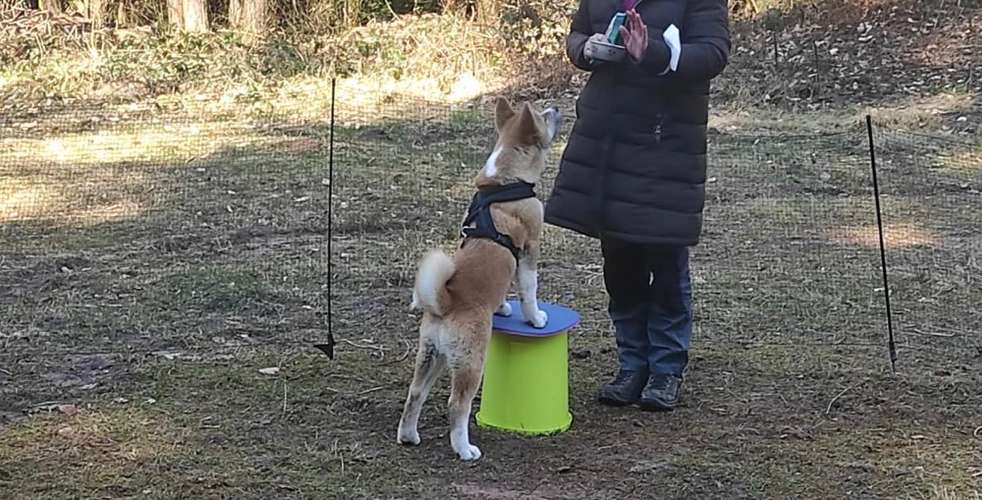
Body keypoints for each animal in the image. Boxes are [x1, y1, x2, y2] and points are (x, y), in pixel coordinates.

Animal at [394, 97, 560, 460]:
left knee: (415, 394)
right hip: (472, 363)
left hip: (432, 357)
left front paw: (504, 310)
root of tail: (444, 304)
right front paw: (535, 318)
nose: (556, 108)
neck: (504, 181)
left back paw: (409, 436)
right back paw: (464, 448)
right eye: (544, 117)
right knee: (457, 405)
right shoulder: (530, 250)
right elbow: (529, 289)